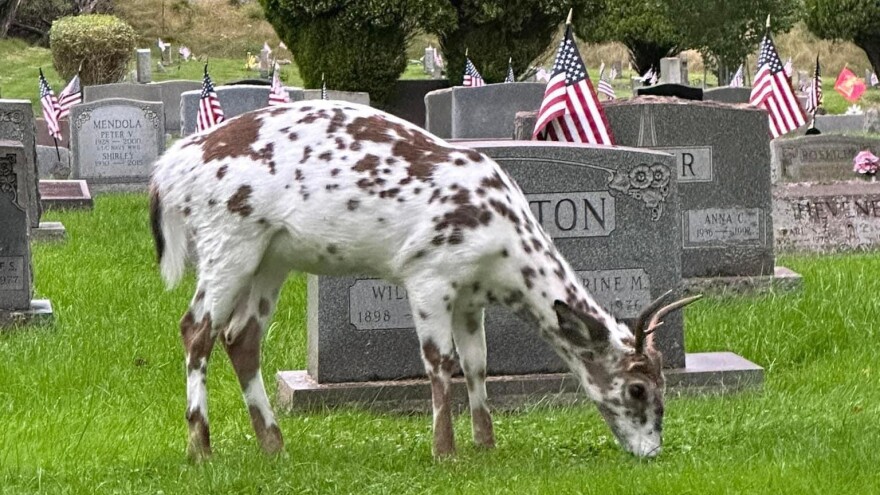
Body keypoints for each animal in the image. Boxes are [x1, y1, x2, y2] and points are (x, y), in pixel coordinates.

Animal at [149, 100, 700, 461]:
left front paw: (485, 443)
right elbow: (439, 361)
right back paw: (201, 449)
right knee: (195, 328)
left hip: (271, 258)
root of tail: (167, 168)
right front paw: (444, 450)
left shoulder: (472, 297)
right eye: (637, 388)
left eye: (663, 383)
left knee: (240, 335)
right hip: (228, 237)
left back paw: (273, 443)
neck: (501, 250)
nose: (652, 450)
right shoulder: (429, 272)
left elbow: (477, 363)